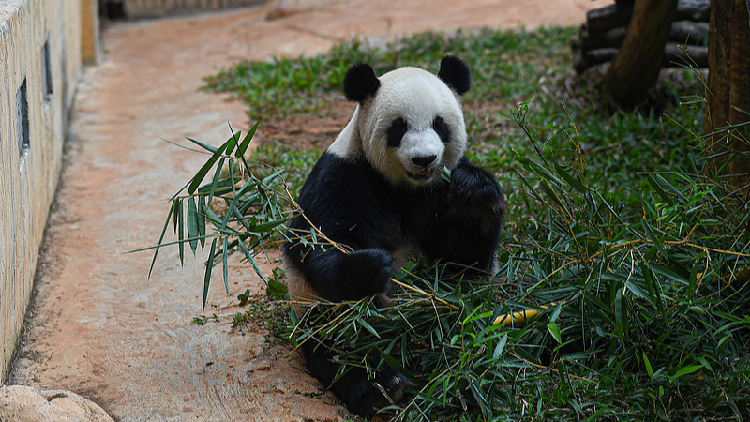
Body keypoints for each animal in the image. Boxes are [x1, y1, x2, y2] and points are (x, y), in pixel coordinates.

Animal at [283, 55, 506, 416]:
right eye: (399, 127)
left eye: (439, 125)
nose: (424, 158)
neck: (405, 186)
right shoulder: (344, 176)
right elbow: (316, 243)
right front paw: (372, 267)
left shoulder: (438, 187)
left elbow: (462, 260)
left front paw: (476, 195)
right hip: (320, 313)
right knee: (343, 342)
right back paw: (381, 385)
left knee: (472, 324)